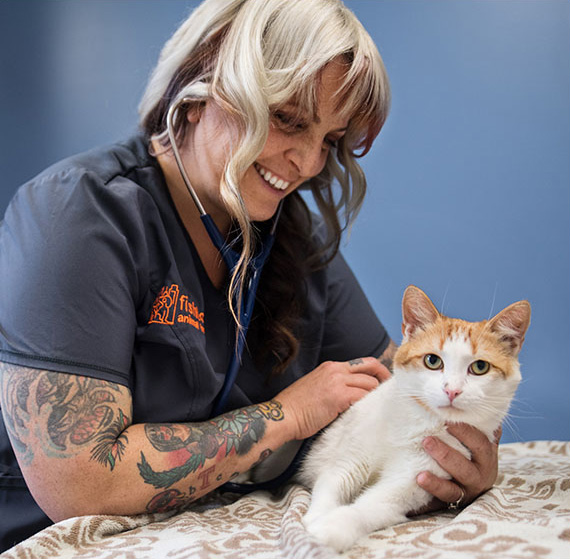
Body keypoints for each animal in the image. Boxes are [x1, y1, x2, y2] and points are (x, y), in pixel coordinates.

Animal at [300, 286, 532, 552]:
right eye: (433, 361)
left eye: (480, 367)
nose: (452, 391)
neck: (417, 422)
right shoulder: (349, 458)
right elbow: (333, 483)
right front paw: (315, 517)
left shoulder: (412, 482)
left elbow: (368, 507)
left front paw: (330, 528)